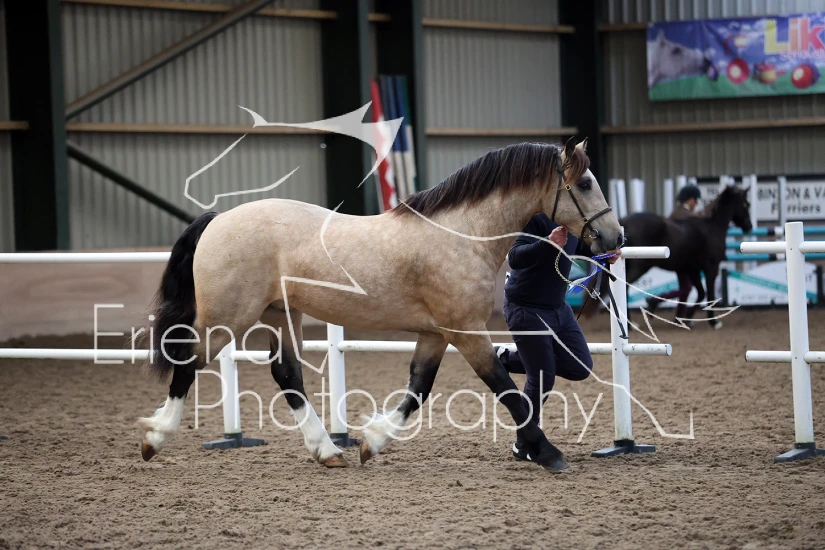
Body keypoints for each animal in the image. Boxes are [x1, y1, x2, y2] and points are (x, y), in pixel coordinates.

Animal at [136, 140, 622, 472]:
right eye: (584, 183)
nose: (615, 238)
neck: (462, 233)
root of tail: (218, 220)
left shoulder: (435, 333)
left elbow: (418, 390)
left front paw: (372, 441)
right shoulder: (465, 330)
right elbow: (505, 389)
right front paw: (547, 451)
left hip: (280, 314)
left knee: (286, 374)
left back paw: (328, 450)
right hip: (227, 318)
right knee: (187, 361)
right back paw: (155, 438)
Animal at [582, 186, 752, 327]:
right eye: (745, 204)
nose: (749, 227)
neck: (710, 228)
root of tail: (623, 224)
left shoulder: (693, 269)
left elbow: (700, 292)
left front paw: (687, 318)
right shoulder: (711, 268)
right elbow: (709, 293)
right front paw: (714, 322)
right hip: (639, 267)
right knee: (625, 286)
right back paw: (630, 323)